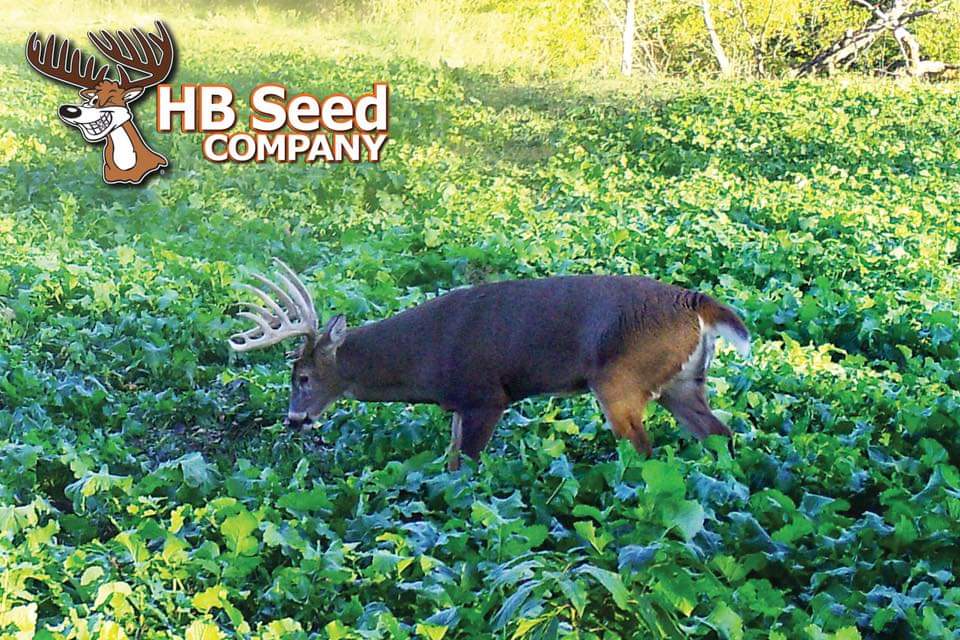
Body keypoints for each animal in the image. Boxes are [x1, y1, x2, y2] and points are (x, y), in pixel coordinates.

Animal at [231, 258, 752, 470]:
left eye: (302, 377)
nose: (293, 419)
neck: (426, 359)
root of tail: (696, 302)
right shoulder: (461, 407)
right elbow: (451, 460)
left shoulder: (486, 396)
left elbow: (468, 467)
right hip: (682, 382)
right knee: (720, 434)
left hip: (619, 380)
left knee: (644, 451)